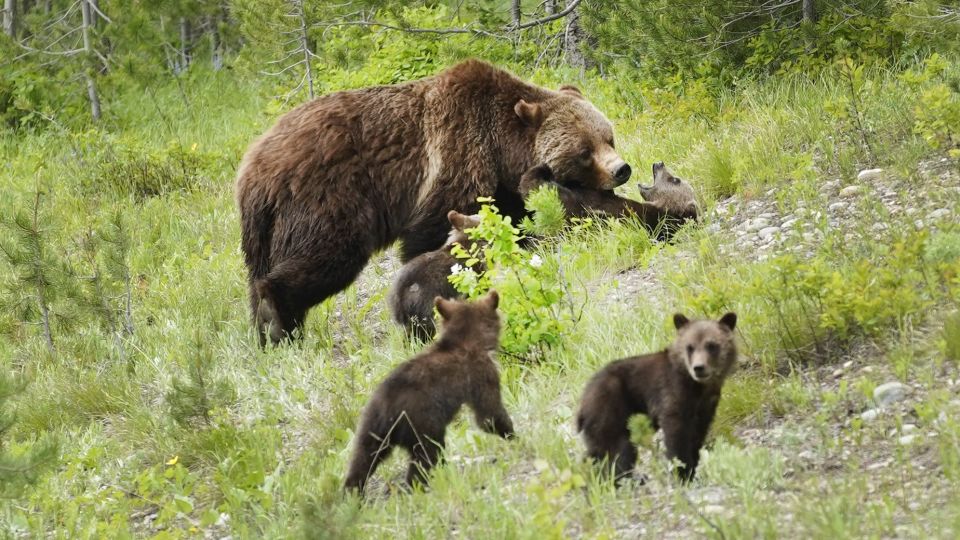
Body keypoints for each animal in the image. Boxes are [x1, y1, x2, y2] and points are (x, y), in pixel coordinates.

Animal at [237, 60, 632, 346]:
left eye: (608, 136)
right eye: (584, 151)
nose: (621, 170)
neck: (503, 148)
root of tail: (251, 171)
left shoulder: (503, 185)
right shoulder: (456, 158)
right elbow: (433, 230)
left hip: (265, 231)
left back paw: (267, 331)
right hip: (325, 198)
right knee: (325, 256)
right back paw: (279, 323)